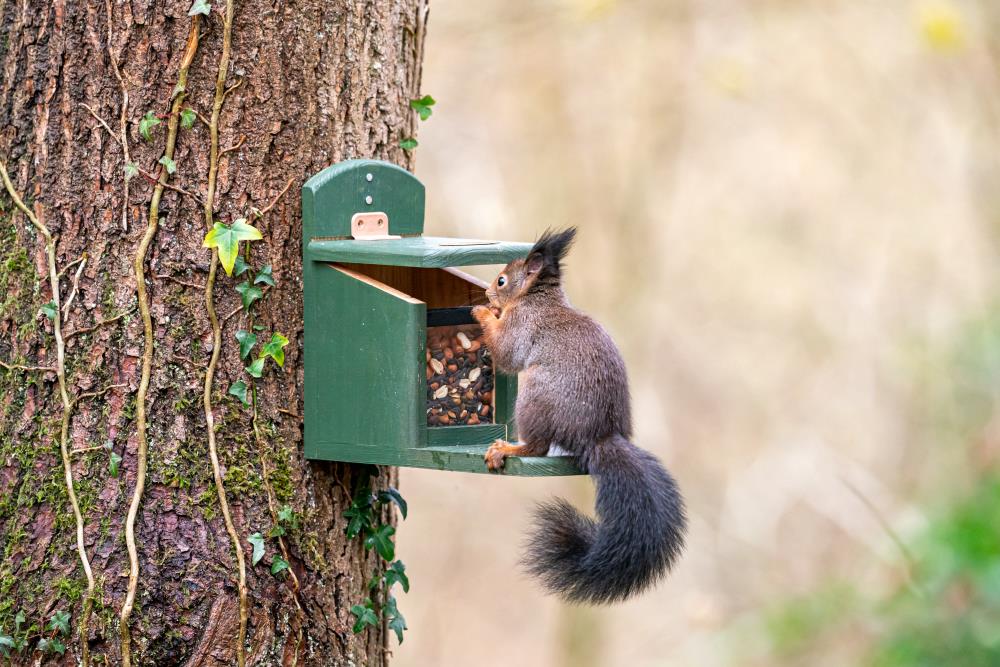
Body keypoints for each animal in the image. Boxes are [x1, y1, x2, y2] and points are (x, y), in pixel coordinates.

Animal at [471, 228, 687, 604]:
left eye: (502, 280)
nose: (486, 291)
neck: (538, 299)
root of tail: (599, 438)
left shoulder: (522, 325)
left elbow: (507, 353)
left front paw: (483, 313)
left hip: (534, 397)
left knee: (539, 447)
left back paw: (508, 449)